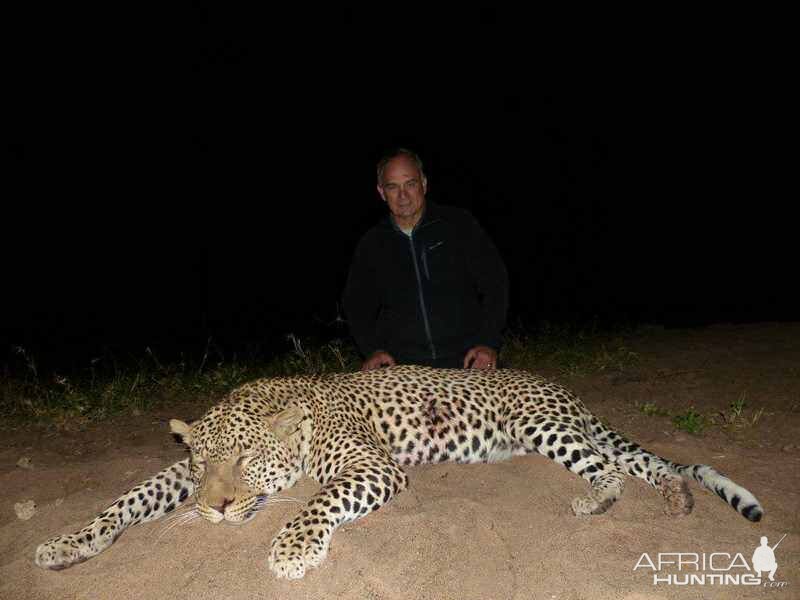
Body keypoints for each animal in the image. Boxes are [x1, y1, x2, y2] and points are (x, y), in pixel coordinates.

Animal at [34, 364, 764, 580]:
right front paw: (67, 543)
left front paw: (292, 550)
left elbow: (320, 501)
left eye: (245, 460)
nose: (214, 508)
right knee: (644, 463)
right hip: (556, 435)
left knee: (613, 465)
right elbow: (130, 496)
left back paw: (601, 503)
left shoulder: (372, 465)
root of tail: (565, 391)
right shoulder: (176, 479)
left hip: (545, 428)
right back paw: (676, 498)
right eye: (204, 462)